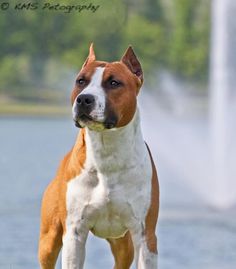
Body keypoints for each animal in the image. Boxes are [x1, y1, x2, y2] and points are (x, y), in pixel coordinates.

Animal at [38, 43, 159, 266]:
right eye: (81, 81)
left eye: (114, 82)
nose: (84, 99)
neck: (107, 151)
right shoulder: (74, 233)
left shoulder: (145, 235)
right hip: (48, 241)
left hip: (124, 245)